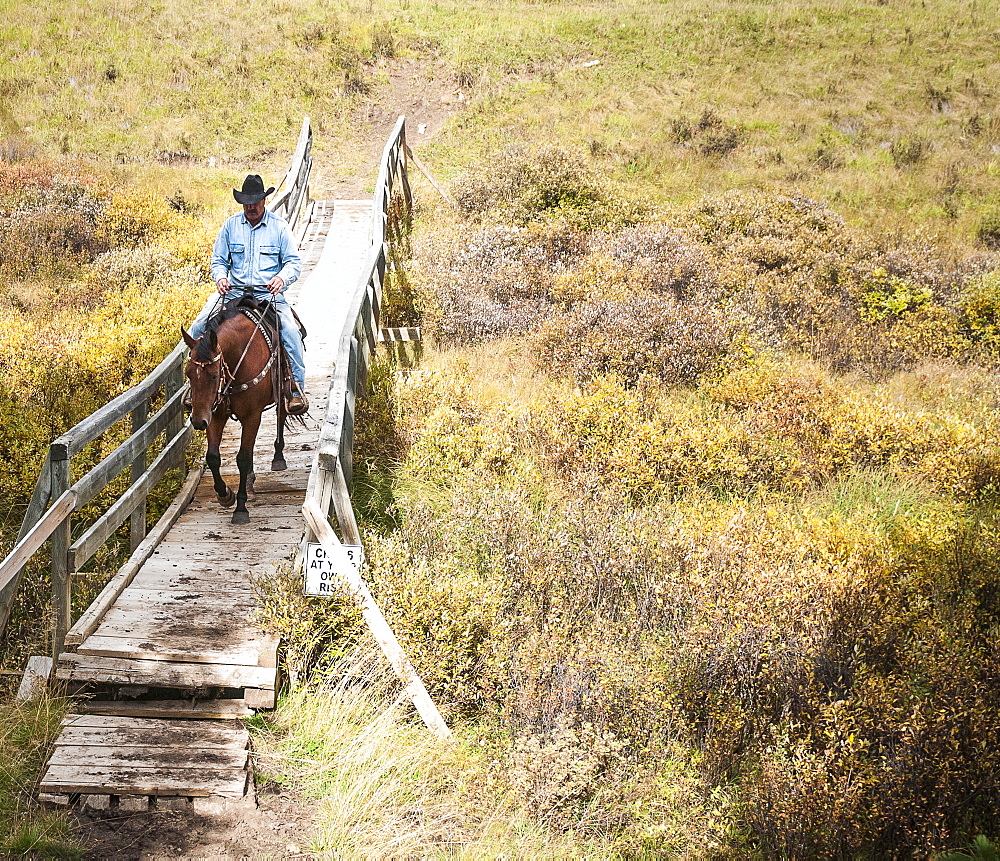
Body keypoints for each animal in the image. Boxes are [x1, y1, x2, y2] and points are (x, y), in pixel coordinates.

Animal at [182, 296, 290, 524]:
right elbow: (213, 456)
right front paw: (225, 495)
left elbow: (242, 458)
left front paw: (240, 508)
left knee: (281, 415)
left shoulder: (252, 415)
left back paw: (278, 457)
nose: (197, 421)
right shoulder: (215, 414)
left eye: (214, 375)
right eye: (188, 373)